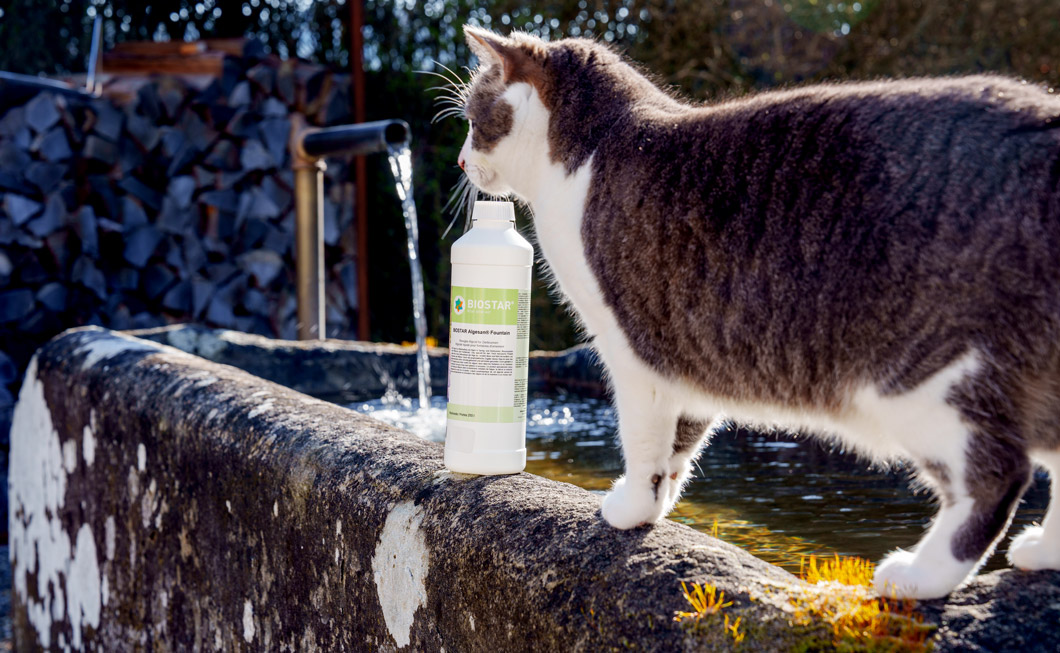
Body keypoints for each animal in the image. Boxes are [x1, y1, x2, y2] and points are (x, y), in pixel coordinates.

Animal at [451, 24, 1060, 597]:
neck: (591, 149)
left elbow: (644, 440)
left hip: (929, 377)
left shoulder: (631, 351)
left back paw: (919, 576)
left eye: (472, 118)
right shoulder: (686, 350)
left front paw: (628, 510)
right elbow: (679, 446)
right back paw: (1042, 552)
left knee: (999, 474)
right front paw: (653, 506)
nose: (459, 159)